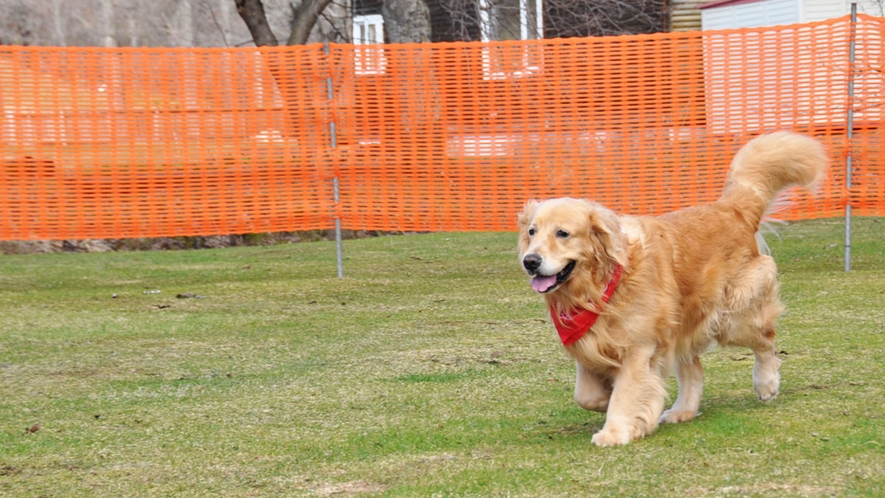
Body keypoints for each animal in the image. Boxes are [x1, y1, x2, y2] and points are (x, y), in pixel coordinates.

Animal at [516, 130, 824, 446]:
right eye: (532, 232)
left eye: (563, 233)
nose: (530, 261)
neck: (600, 288)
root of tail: (731, 208)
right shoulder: (588, 343)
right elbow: (586, 395)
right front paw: (607, 398)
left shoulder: (639, 346)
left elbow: (627, 390)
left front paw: (616, 430)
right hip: (682, 321)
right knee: (694, 369)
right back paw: (682, 410)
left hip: (733, 317)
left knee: (766, 342)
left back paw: (766, 383)